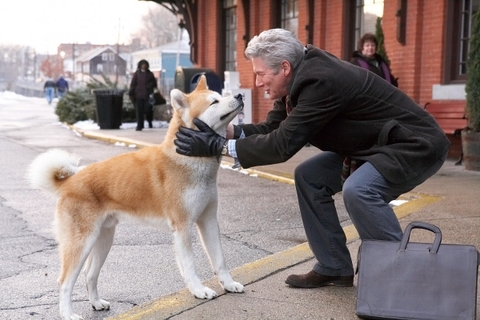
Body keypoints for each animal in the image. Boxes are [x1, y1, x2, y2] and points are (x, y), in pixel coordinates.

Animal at [27, 76, 244, 320]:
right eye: (214, 101)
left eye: (220, 96)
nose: (239, 96)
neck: (189, 159)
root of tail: (69, 181)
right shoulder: (183, 227)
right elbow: (190, 265)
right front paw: (199, 290)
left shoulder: (208, 221)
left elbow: (220, 260)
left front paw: (228, 284)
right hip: (81, 243)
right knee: (64, 282)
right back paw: (68, 314)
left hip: (103, 239)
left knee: (90, 274)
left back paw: (96, 303)